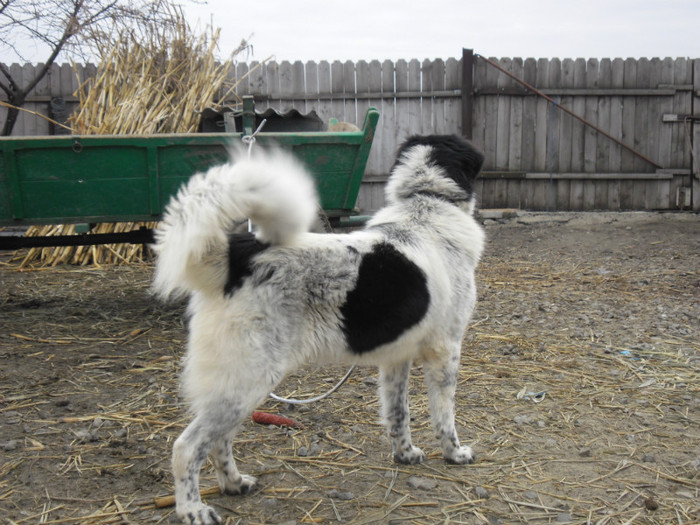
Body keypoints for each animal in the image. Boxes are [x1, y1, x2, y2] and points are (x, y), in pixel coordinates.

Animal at [151, 136, 484, 524]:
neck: (426, 205)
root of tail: (239, 256)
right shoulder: (445, 350)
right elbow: (445, 417)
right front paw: (454, 454)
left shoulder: (396, 357)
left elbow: (398, 413)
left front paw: (405, 454)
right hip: (248, 379)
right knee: (187, 447)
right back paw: (193, 509)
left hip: (238, 386)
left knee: (219, 440)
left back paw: (234, 483)